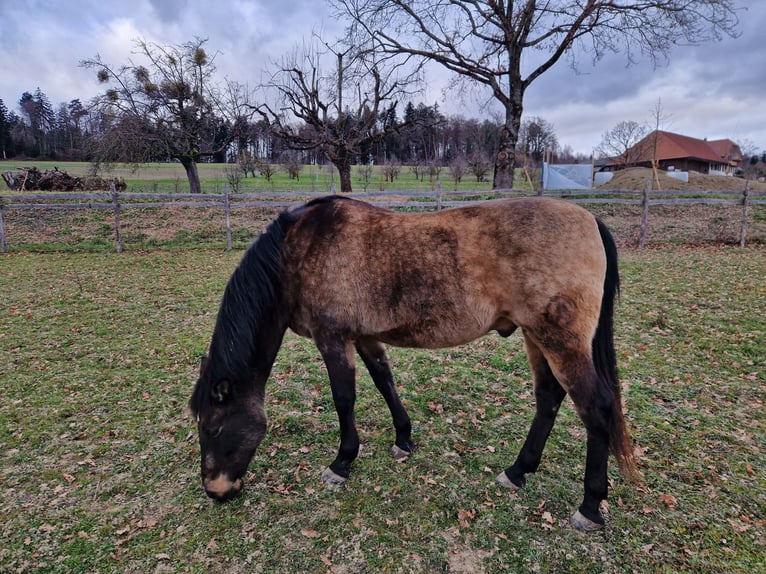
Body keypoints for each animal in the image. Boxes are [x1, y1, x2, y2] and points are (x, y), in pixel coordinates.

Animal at [189, 195, 637, 531]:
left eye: (212, 426)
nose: (216, 490)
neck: (300, 252)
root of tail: (591, 220)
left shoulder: (333, 339)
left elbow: (344, 399)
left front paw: (342, 462)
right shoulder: (365, 337)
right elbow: (384, 381)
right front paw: (403, 438)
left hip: (559, 342)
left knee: (596, 407)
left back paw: (590, 506)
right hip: (536, 337)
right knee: (548, 398)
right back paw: (517, 471)